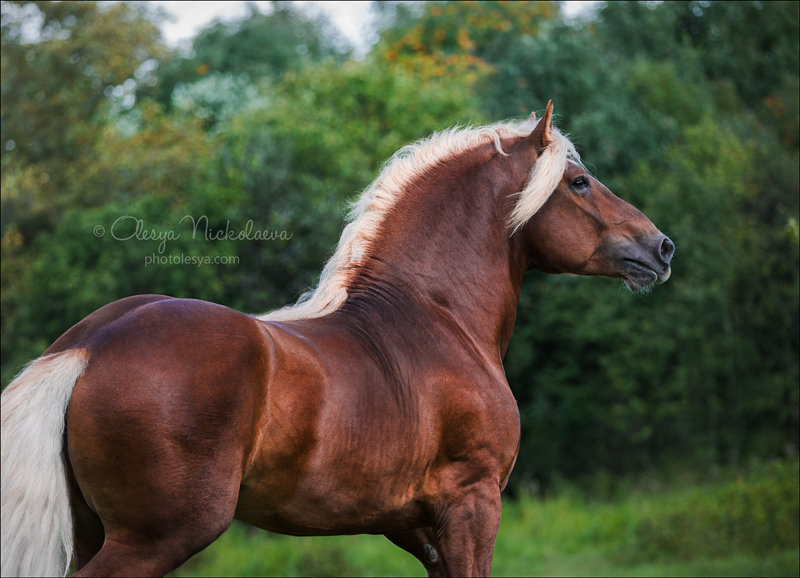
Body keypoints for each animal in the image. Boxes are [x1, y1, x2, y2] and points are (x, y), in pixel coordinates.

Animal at [1, 101, 676, 572]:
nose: (661, 247)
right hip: (156, 538)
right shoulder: (473, 506)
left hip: (95, 532)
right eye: (579, 182)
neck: (435, 317)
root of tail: (91, 345)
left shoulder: (420, 531)